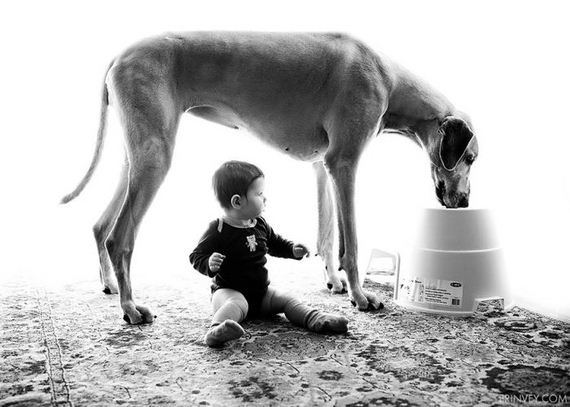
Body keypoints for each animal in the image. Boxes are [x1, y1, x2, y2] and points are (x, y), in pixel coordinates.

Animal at [61, 31, 474, 326]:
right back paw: (130, 307)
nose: (465, 203)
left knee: (100, 225)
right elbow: (351, 244)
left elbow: (326, 235)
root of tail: (120, 54)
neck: (388, 78)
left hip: (136, 159)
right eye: (470, 158)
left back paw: (110, 286)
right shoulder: (345, 165)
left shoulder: (324, 167)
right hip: (155, 159)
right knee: (119, 238)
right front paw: (360, 296)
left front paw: (333, 281)